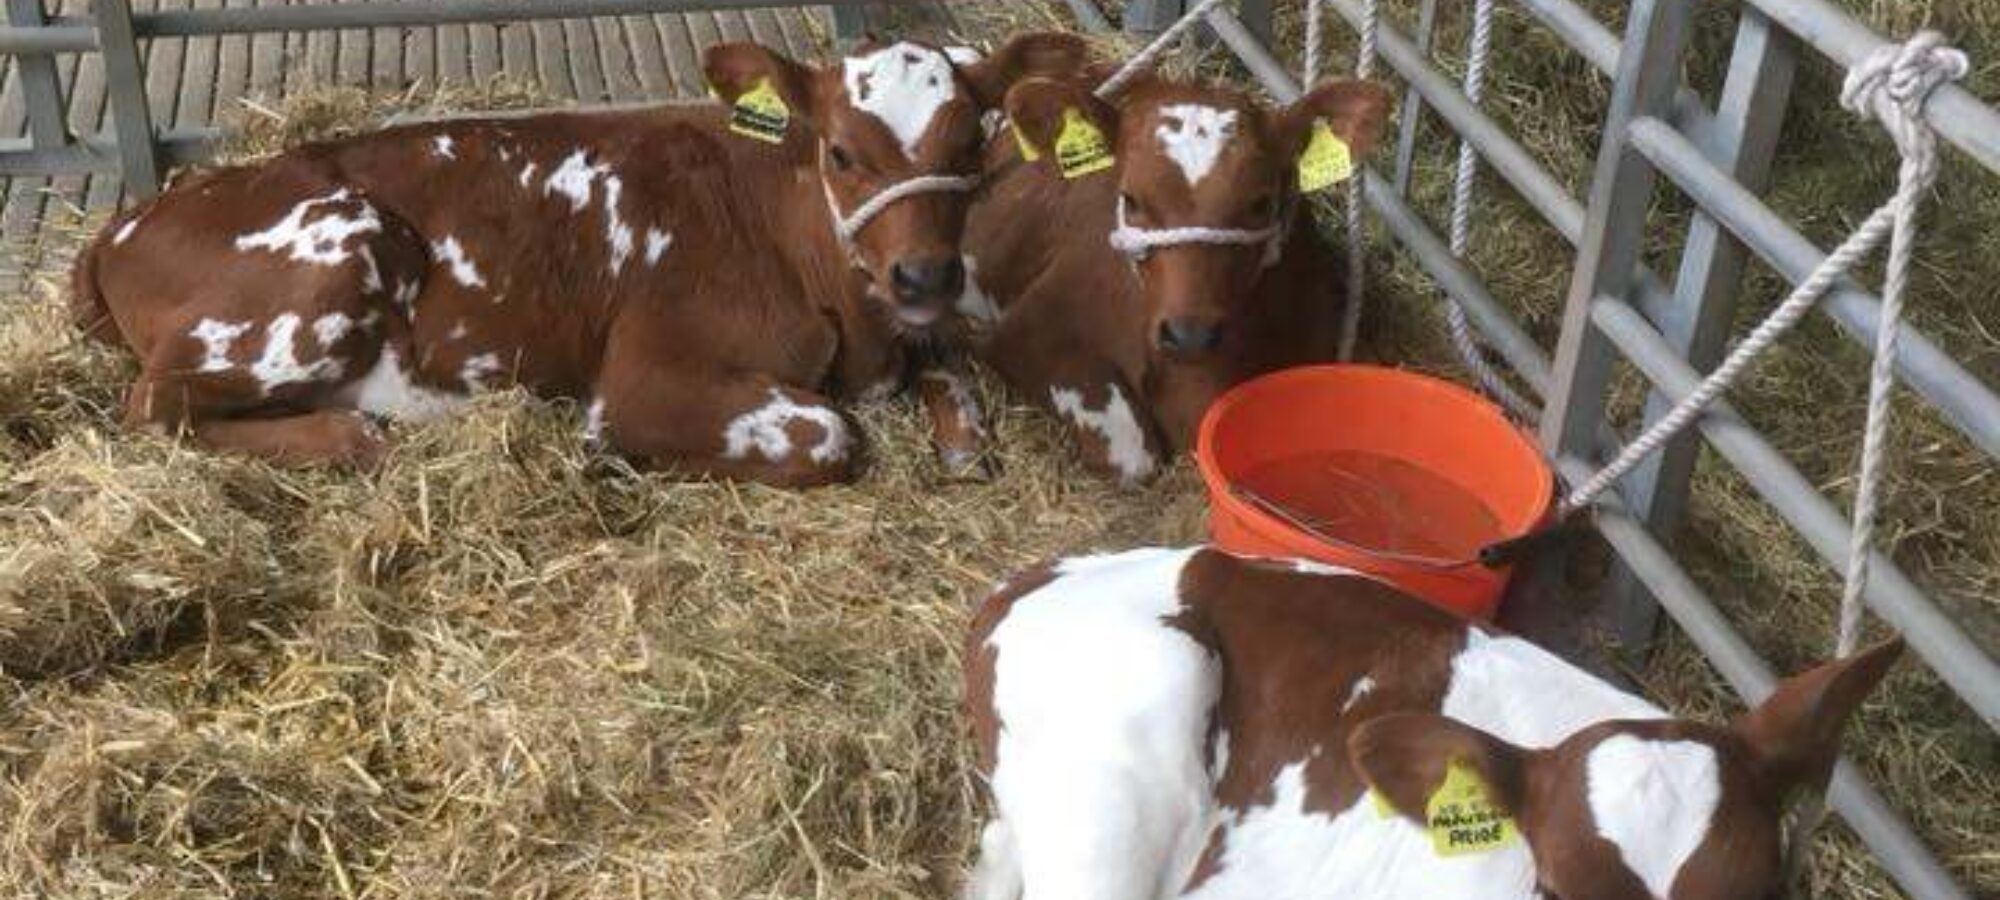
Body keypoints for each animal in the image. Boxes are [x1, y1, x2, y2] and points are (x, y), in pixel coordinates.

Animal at [68, 34, 1087, 486]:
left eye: (974, 140)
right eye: (841, 151)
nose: (925, 276)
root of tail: (128, 222)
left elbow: (950, 374)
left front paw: (959, 430)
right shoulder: (647, 374)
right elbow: (830, 433)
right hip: (332, 256)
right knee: (152, 405)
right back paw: (346, 433)